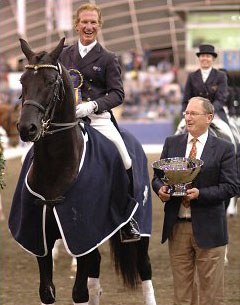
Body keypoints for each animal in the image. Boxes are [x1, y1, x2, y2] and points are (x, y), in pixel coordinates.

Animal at [8, 38, 155, 304]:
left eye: (50, 82)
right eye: (22, 81)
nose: (26, 128)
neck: (55, 169)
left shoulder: (82, 233)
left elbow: (78, 293)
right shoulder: (42, 240)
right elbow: (47, 292)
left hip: (138, 230)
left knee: (144, 268)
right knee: (95, 276)